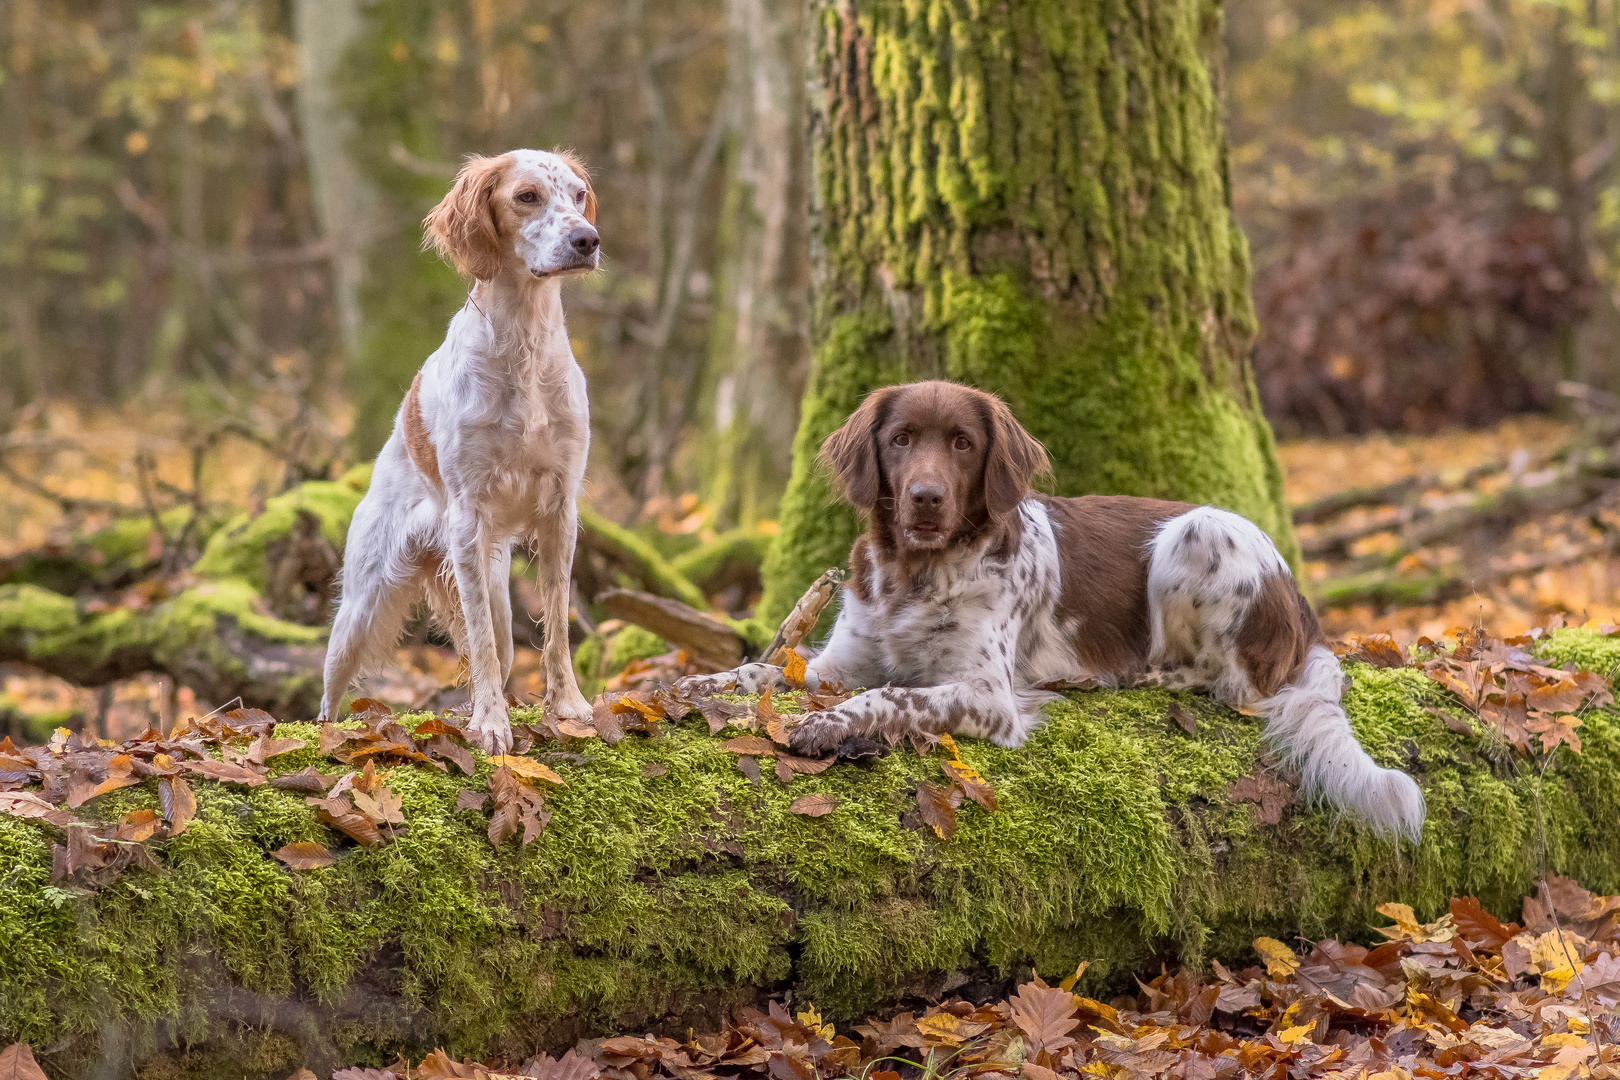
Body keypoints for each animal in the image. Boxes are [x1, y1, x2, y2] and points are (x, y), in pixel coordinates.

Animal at [319, 152, 599, 757]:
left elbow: (557, 628)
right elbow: (483, 648)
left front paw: (569, 706)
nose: (587, 240)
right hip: (360, 608)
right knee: (328, 694)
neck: (523, 347)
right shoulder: (468, 517)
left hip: (494, 589)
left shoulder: (560, 509)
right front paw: (492, 724)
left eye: (578, 194)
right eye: (526, 197)